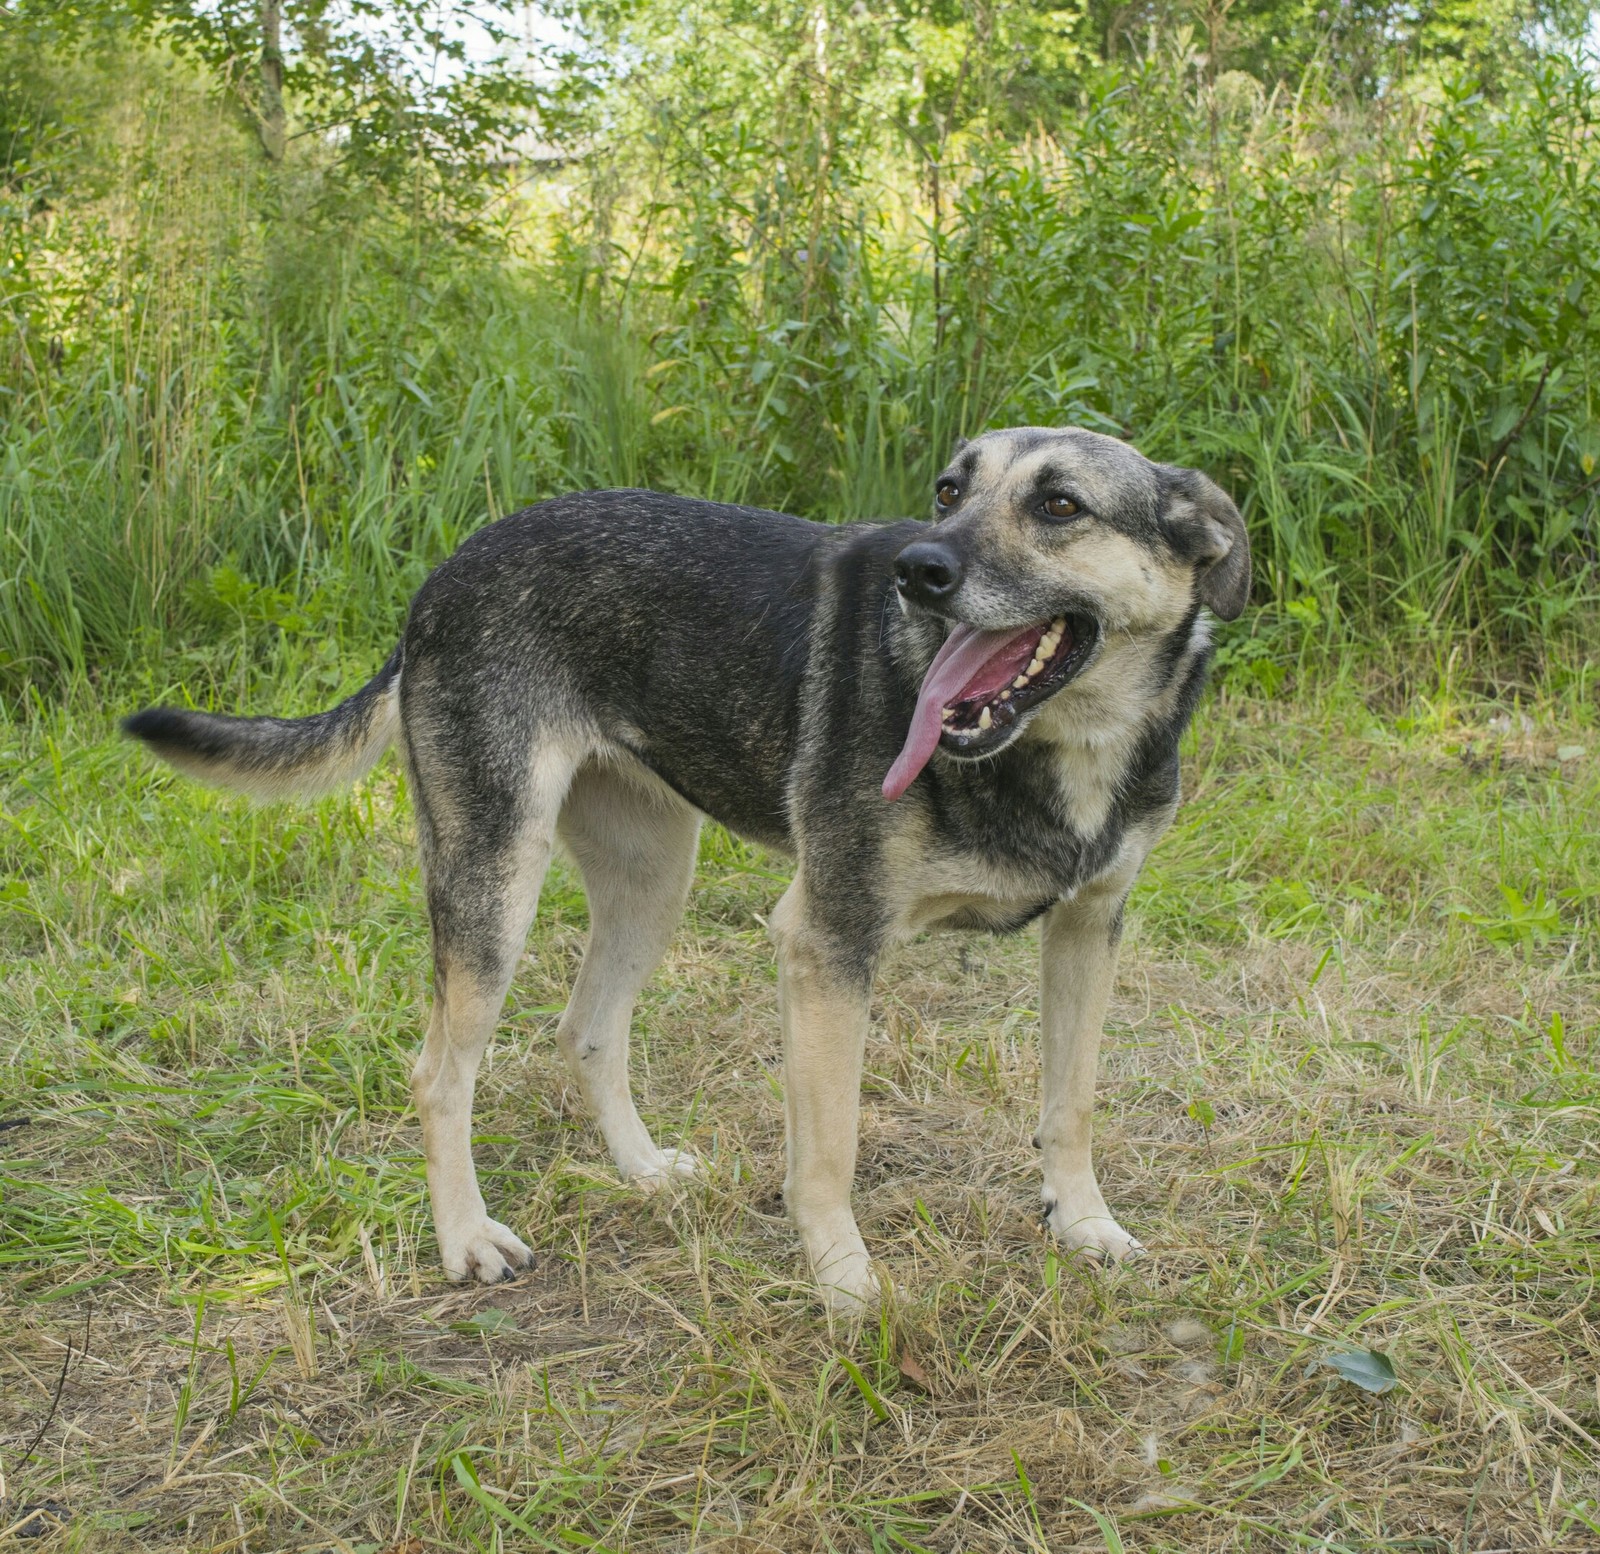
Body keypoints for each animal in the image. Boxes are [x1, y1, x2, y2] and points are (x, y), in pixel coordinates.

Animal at [124, 428, 1248, 1312]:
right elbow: (828, 1148)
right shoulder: (827, 942)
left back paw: (639, 1170)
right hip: (494, 878)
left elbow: (1073, 1103)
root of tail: (447, 571)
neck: (1062, 747)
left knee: (585, 1027)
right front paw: (845, 1285)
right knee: (439, 1069)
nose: (917, 569)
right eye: (947, 490)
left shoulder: (1090, 928)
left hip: (652, 874)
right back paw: (467, 1239)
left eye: (1059, 505)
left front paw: (1083, 1223)